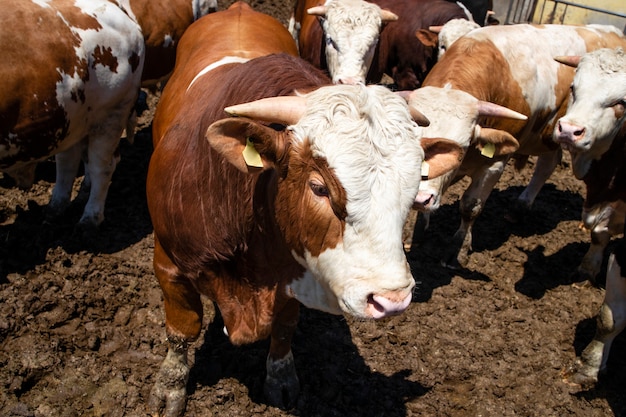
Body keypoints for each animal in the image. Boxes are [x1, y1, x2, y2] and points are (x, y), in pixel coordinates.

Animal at [0, 0, 144, 228]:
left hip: (112, 116)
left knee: (102, 166)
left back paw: (91, 218)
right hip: (72, 119)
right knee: (67, 161)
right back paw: (55, 208)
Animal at [144, 2, 460, 412]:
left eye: (410, 192)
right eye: (318, 187)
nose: (391, 299)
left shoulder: (294, 273)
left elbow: (284, 328)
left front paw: (280, 378)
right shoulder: (170, 265)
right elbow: (182, 330)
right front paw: (170, 386)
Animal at [398, 22, 624, 264]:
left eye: (462, 146)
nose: (420, 197)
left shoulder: (495, 163)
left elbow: (470, 206)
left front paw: (457, 249)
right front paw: (417, 234)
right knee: (548, 163)